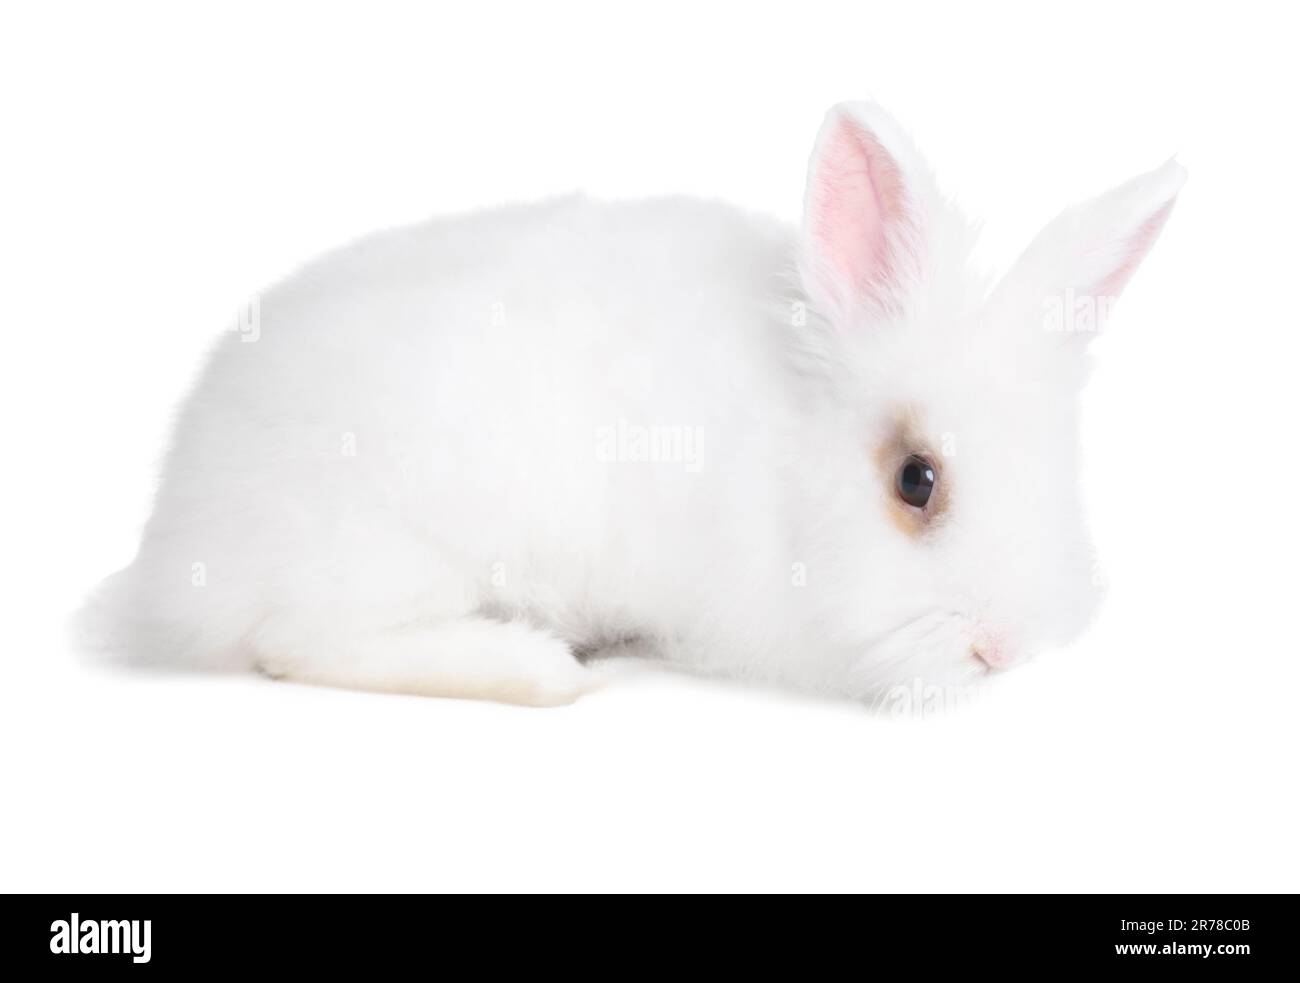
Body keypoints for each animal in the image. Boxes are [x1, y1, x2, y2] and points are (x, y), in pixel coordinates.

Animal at [78, 101, 1184, 706]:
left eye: (1065, 476)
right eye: (916, 480)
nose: (1005, 647)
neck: (786, 463)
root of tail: (175, 547)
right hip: (391, 547)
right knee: (296, 643)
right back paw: (542, 670)